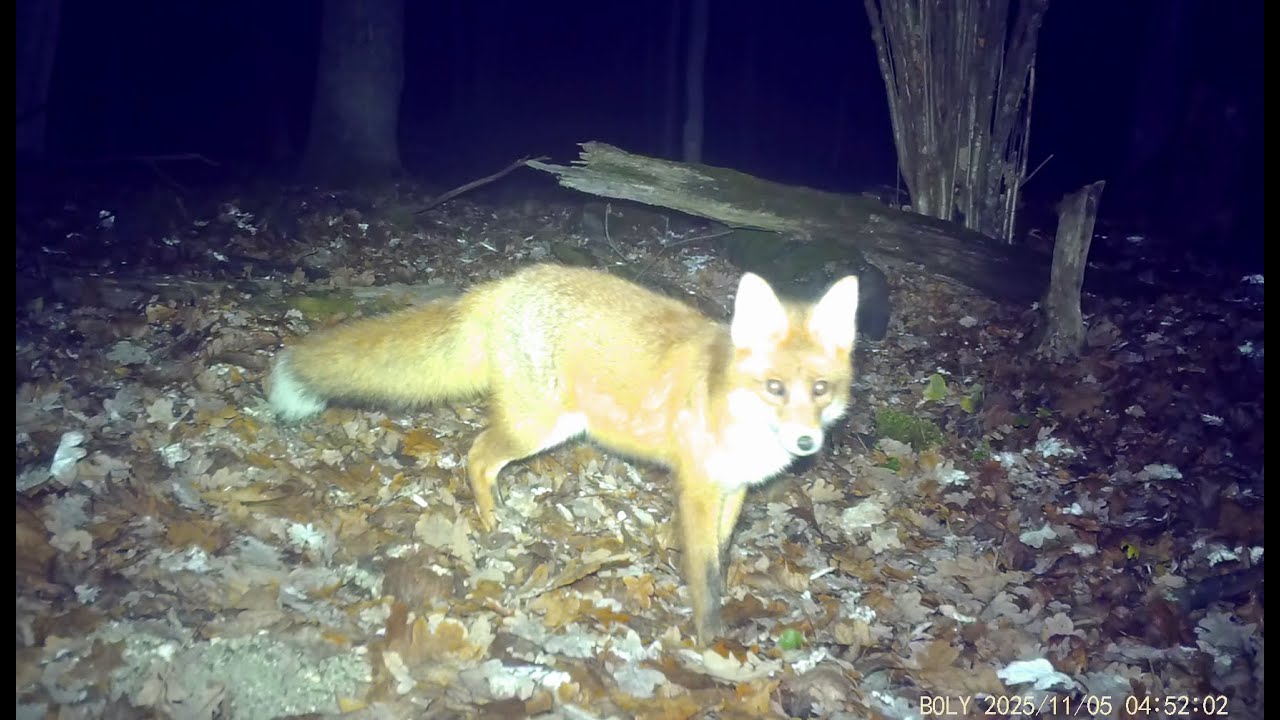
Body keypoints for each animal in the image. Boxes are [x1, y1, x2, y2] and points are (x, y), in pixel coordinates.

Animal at [268, 263, 860, 644]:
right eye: (775, 388)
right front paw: (709, 641)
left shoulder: (732, 491)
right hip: (540, 426)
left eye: (820, 390)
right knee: (475, 455)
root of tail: (505, 284)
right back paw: (492, 524)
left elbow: (721, 556)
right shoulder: (696, 489)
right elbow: (705, 576)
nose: (806, 443)